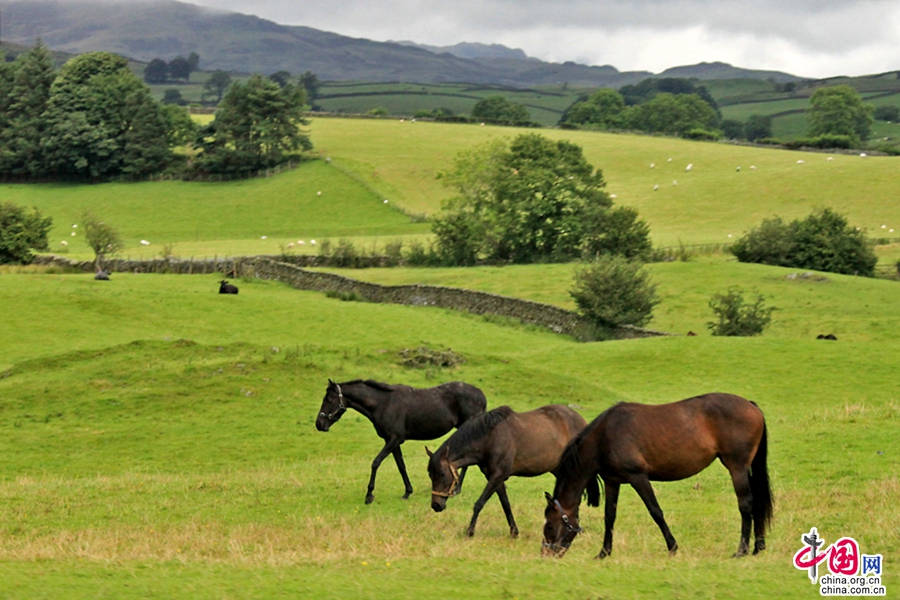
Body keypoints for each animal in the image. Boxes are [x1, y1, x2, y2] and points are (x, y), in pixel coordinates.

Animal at [316, 382, 486, 504]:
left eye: (329, 399)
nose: (319, 424)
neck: (383, 403)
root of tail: (481, 396)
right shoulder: (393, 442)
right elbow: (401, 466)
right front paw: (407, 492)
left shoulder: (394, 439)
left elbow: (375, 463)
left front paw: (369, 495)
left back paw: (456, 489)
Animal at [428, 406, 588, 536]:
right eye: (430, 475)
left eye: (442, 474)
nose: (436, 505)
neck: (489, 438)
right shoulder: (495, 478)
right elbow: (505, 504)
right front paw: (514, 532)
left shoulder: (498, 475)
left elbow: (479, 503)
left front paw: (470, 532)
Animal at [540, 394, 772, 556]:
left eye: (549, 525)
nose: (546, 553)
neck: (605, 436)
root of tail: (751, 405)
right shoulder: (613, 482)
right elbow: (609, 516)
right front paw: (604, 552)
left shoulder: (638, 478)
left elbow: (656, 512)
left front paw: (673, 547)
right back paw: (758, 547)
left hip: (737, 468)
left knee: (746, 505)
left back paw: (742, 550)